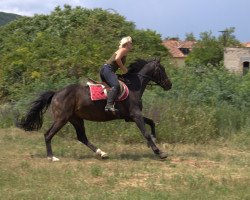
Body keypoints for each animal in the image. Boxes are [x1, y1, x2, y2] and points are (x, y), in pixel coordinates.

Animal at [17, 57, 170, 161]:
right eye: (162, 70)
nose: (169, 85)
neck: (133, 87)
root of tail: (56, 93)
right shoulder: (135, 115)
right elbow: (145, 132)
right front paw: (159, 152)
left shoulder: (130, 117)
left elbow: (151, 122)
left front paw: (154, 140)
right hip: (62, 119)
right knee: (48, 134)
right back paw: (52, 157)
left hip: (76, 119)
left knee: (82, 137)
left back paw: (101, 153)